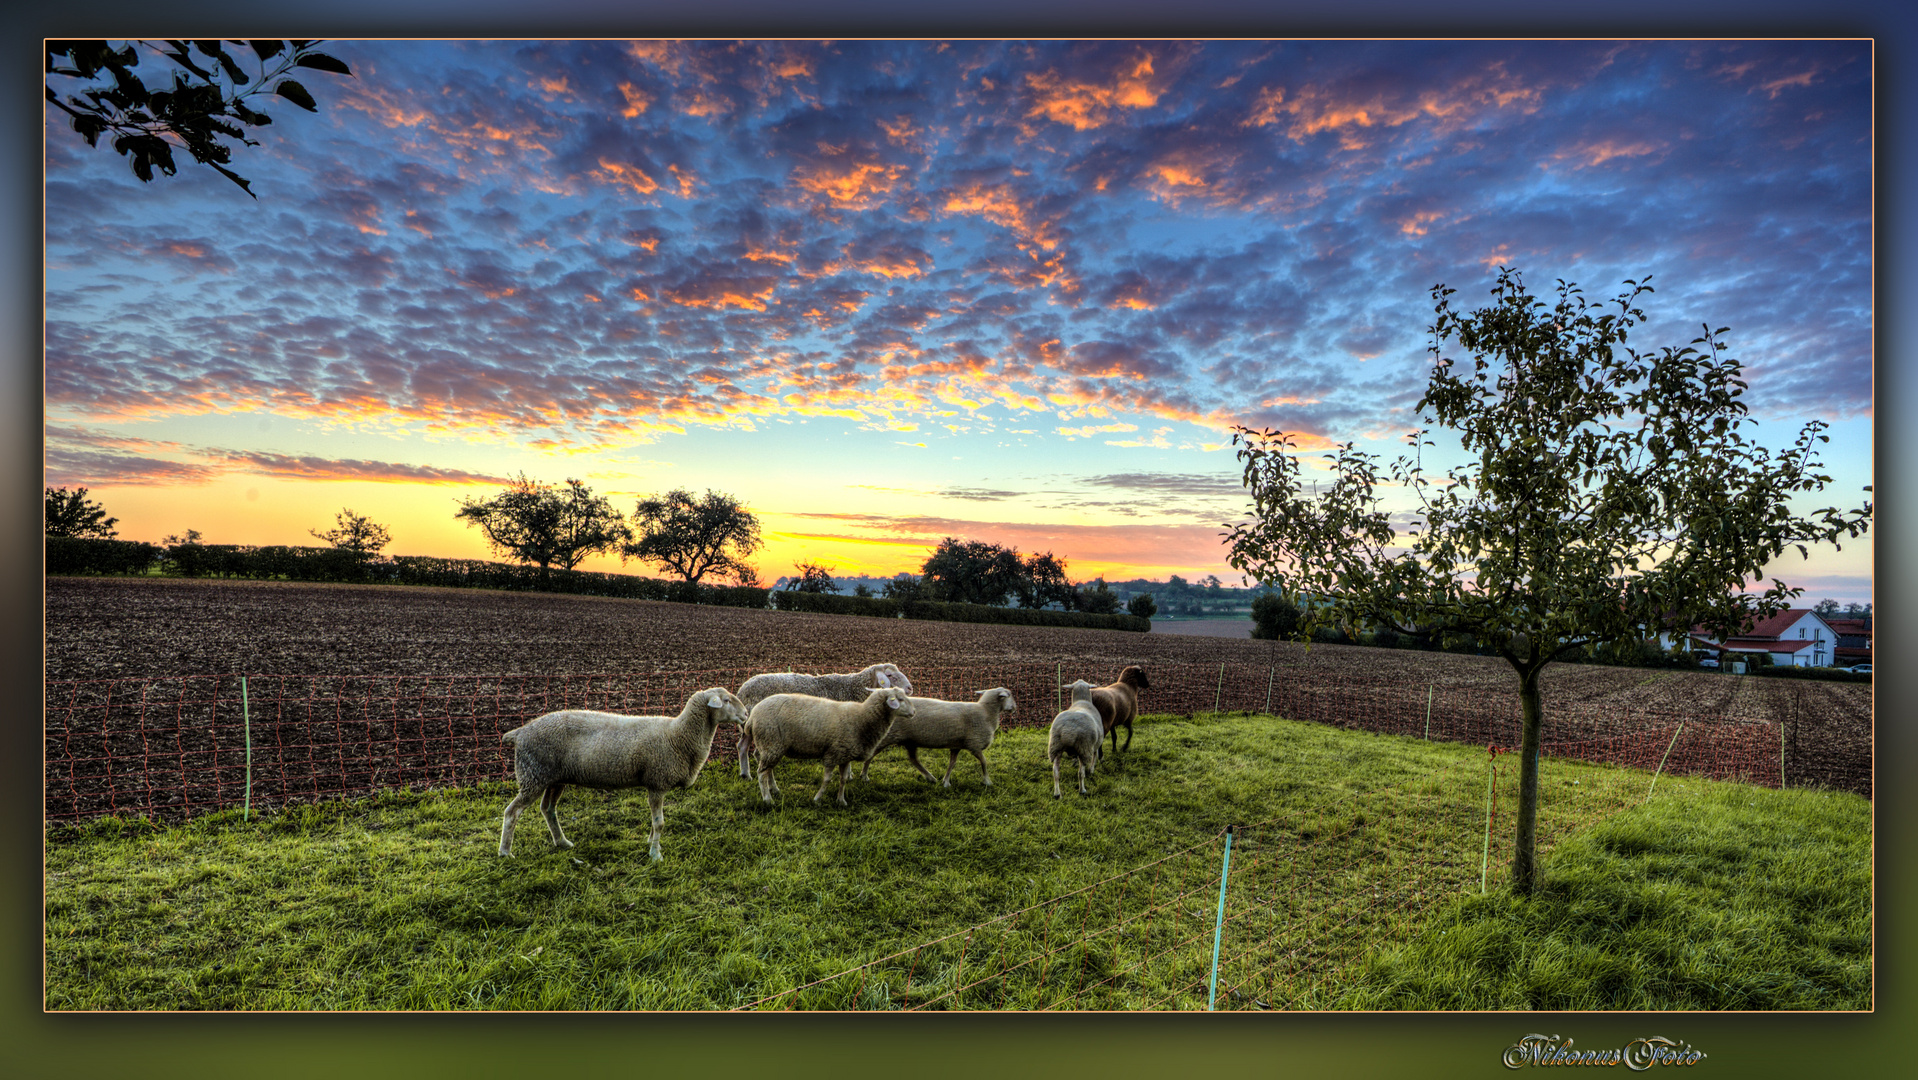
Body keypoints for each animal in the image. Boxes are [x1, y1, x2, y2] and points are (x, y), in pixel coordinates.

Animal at [498, 694, 744, 863]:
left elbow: (655, 822)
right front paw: (655, 855)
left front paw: (651, 844)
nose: (745, 715)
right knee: (512, 812)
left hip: (553, 778)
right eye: (726, 700)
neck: (677, 734)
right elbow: (660, 823)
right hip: (533, 775)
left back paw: (562, 842)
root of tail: (519, 732)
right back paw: (505, 852)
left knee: (548, 809)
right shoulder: (658, 782)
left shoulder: (654, 784)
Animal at [732, 659, 912, 778]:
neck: (854, 689)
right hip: (765, 727)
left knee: (742, 746)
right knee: (756, 752)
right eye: (889, 675)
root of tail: (742, 690)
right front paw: (849, 775)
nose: (910, 688)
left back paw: (745, 774)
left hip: (748, 726)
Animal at [744, 690, 909, 805]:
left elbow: (843, 779)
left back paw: (774, 789)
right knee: (761, 773)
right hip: (771, 741)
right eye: (900, 699)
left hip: (769, 745)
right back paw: (767, 799)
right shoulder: (833, 753)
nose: (913, 712)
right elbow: (827, 779)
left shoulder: (845, 754)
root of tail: (752, 716)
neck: (862, 718)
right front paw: (817, 799)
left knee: (764, 764)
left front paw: (841, 801)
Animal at [863, 694, 1020, 786]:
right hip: (888, 736)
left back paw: (930, 778)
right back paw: (864, 775)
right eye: (1009, 695)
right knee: (870, 754)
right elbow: (984, 762)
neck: (986, 713)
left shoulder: (957, 745)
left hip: (910, 740)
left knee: (914, 759)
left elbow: (952, 763)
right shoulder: (974, 744)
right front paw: (987, 781)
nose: (1015, 708)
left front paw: (946, 782)